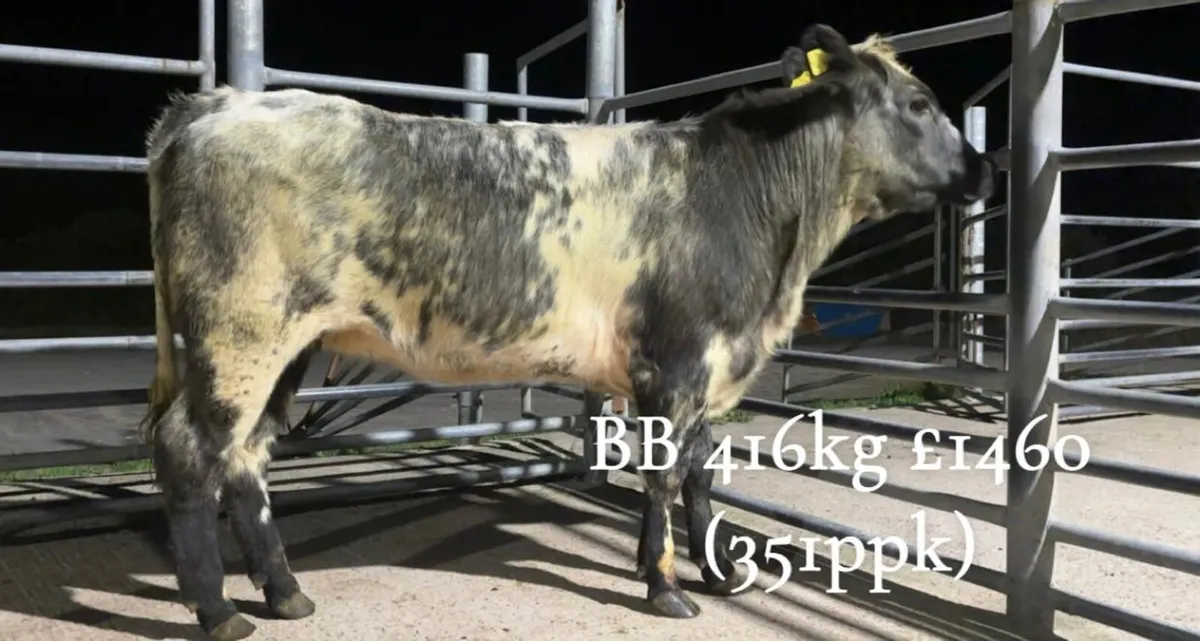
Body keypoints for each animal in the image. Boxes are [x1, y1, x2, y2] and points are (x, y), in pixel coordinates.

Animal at [139, 23, 994, 640]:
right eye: (919, 104)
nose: (987, 168)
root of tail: (216, 105)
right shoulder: (678, 359)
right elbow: (664, 474)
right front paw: (666, 586)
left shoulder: (708, 366)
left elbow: (701, 469)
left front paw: (717, 571)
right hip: (241, 329)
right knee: (192, 448)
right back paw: (218, 610)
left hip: (287, 343)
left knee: (247, 454)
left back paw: (286, 594)